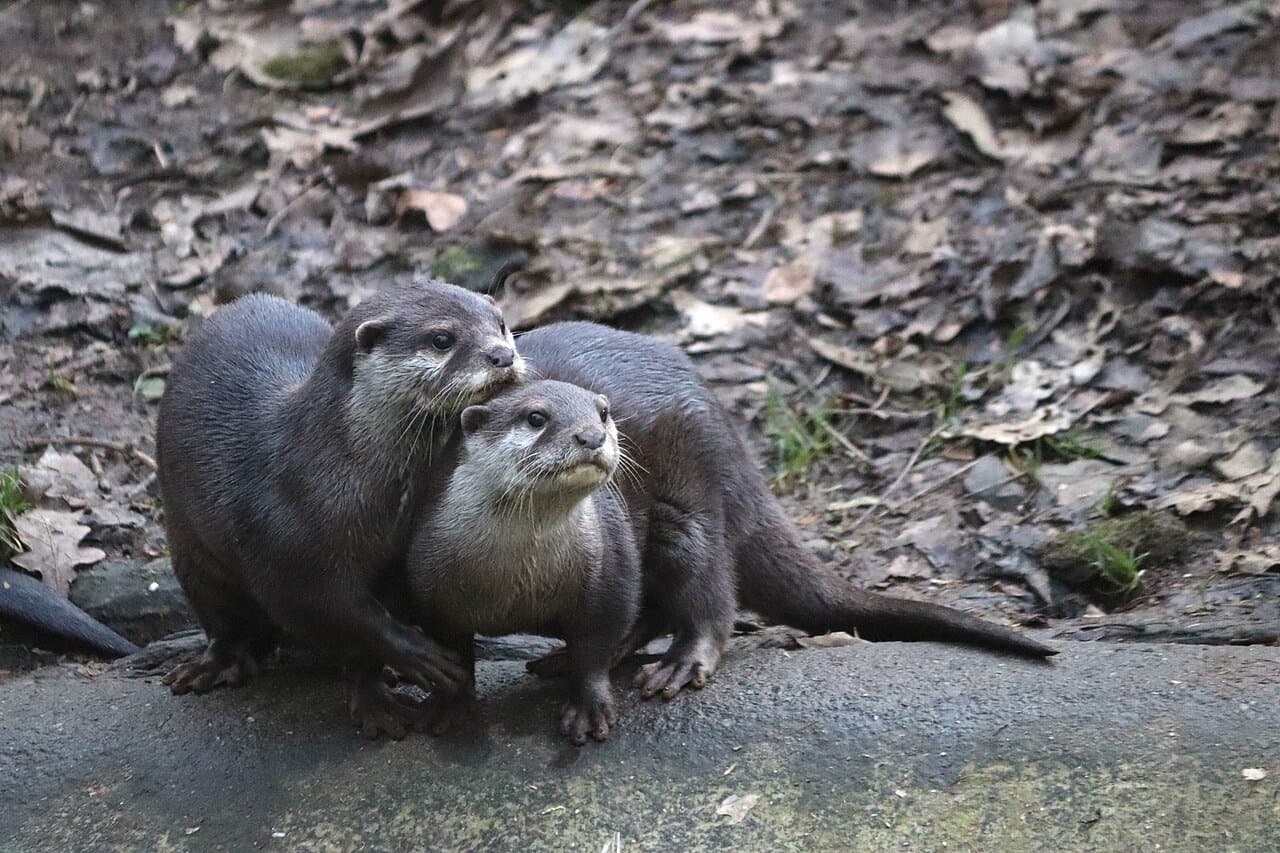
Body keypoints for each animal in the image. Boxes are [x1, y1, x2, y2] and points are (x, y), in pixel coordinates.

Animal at [155, 279, 524, 735]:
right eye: (441, 339)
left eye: (501, 323)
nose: (502, 354)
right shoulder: (286, 557)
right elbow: (337, 613)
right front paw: (415, 660)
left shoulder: (399, 556)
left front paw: (377, 691)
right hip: (190, 548)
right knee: (222, 617)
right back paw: (214, 665)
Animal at [404, 380, 640, 744]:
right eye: (535, 417)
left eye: (603, 413)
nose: (591, 436)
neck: (517, 578)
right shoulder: (431, 590)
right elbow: (451, 651)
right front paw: (449, 704)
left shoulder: (610, 573)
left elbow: (595, 649)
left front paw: (589, 707)